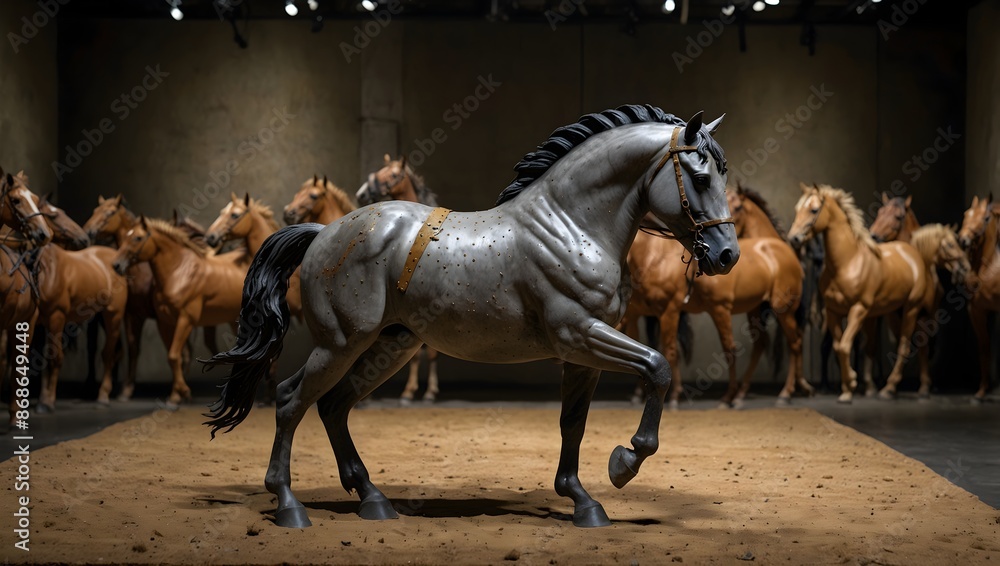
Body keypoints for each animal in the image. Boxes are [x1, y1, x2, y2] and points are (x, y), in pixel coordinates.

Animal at [111, 217, 247, 407]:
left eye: (138, 238)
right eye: (125, 236)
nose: (116, 265)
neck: (178, 272)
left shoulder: (186, 320)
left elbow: (175, 356)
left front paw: (183, 391)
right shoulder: (165, 323)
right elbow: (174, 357)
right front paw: (176, 395)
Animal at [358, 155, 443, 404]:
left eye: (394, 175)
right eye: (380, 170)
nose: (362, 193)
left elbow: (430, 353)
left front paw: (428, 392)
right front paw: (408, 392)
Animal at [788, 183, 932, 403]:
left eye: (814, 210)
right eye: (797, 209)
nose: (794, 238)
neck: (847, 262)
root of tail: (910, 252)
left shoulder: (858, 310)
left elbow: (845, 346)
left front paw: (851, 384)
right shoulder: (833, 312)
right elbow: (838, 346)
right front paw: (848, 386)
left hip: (911, 309)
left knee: (905, 345)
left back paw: (890, 388)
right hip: (889, 313)